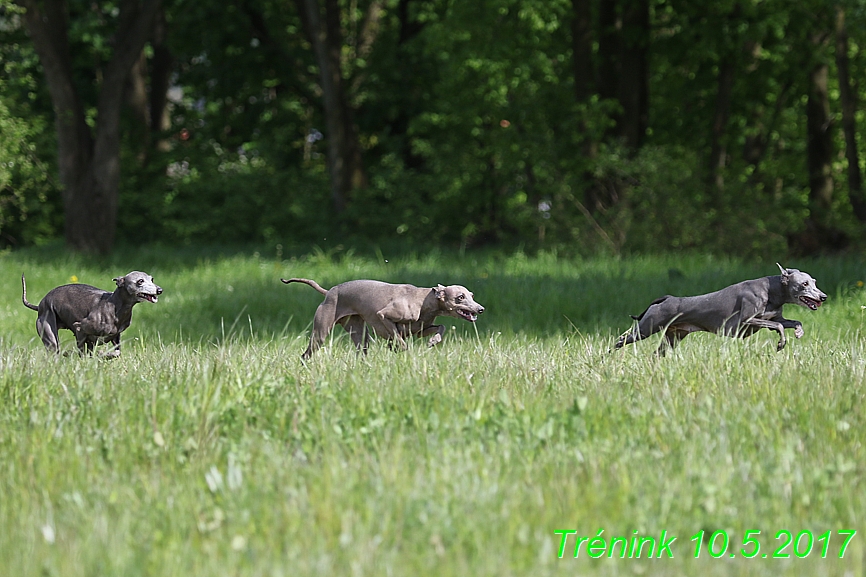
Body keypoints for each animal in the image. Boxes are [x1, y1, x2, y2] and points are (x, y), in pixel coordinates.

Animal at [22, 270, 162, 356]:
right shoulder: (79, 328)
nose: (159, 290)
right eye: (140, 281)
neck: (114, 305)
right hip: (51, 337)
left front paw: (108, 355)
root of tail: (40, 305)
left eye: (152, 279)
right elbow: (84, 353)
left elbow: (117, 353)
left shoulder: (115, 337)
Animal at [284, 278, 486, 358]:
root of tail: (329, 292)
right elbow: (399, 339)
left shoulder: (421, 329)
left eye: (472, 295)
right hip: (321, 332)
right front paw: (399, 349)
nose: (481, 309)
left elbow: (440, 327)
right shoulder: (383, 316)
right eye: (460, 297)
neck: (424, 300)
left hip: (358, 332)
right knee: (306, 354)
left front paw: (433, 341)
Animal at [616, 264, 824, 354]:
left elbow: (792, 322)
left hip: (672, 337)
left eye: (814, 281)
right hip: (646, 329)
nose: (823, 297)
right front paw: (781, 344)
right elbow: (779, 327)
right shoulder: (747, 320)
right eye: (804, 284)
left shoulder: (774, 318)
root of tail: (666, 298)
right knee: (620, 340)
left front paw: (798, 332)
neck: (771, 289)